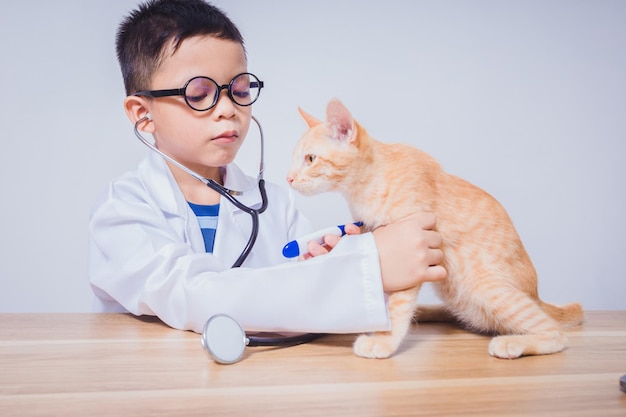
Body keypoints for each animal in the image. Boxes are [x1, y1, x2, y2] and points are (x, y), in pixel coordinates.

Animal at [286, 98, 584, 358]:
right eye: (294, 159)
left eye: (310, 159)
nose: (288, 178)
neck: (365, 186)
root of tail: (537, 297)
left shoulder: (413, 240)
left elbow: (399, 304)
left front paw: (384, 342)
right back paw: (428, 312)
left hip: (485, 285)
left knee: (554, 332)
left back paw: (513, 343)